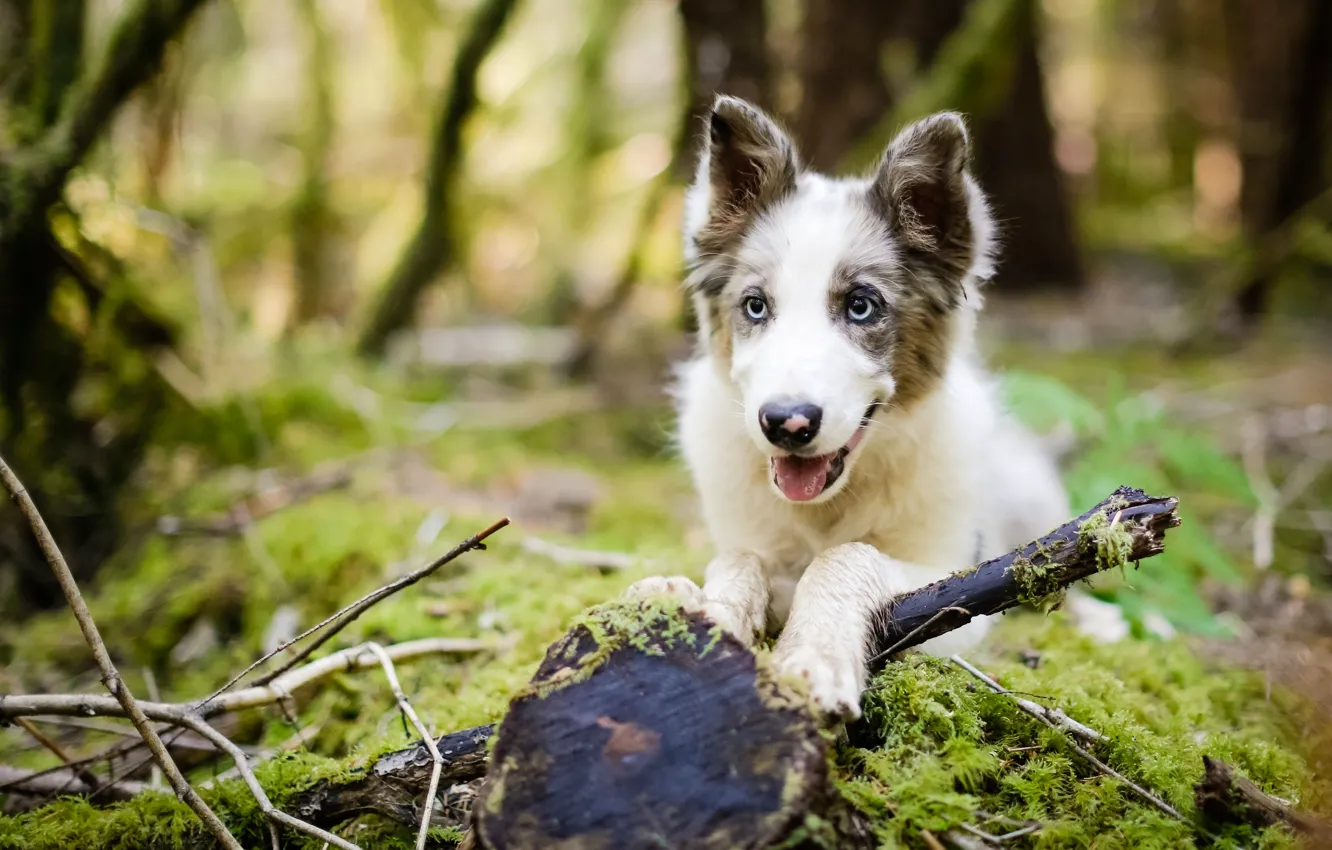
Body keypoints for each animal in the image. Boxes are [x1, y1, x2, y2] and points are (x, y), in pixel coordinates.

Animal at [628, 94, 1076, 719]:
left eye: (861, 306)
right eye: (755, 306)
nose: (785, 423)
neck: (826, 507)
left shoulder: (956, 588)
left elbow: (847, 556)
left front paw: (814, 659)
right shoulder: (748, 540)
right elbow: (739, 560)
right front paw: (699, 609)